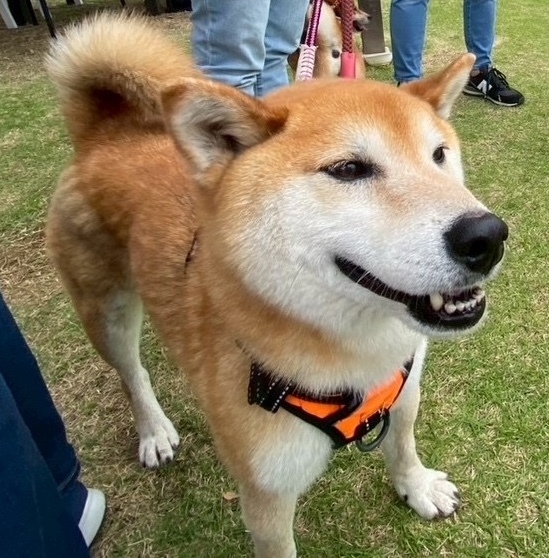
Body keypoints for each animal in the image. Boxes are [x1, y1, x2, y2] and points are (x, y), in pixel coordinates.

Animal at [46, 14, 508, 557]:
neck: (353, 352)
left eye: (438, 155)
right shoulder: (266, 491)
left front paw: (416, 487)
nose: (487, 237)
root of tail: (104, 136)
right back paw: (153, 429)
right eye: (348, 169)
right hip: (107, 313)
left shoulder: (404, 387)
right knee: (131, 371)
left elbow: (402, 442)